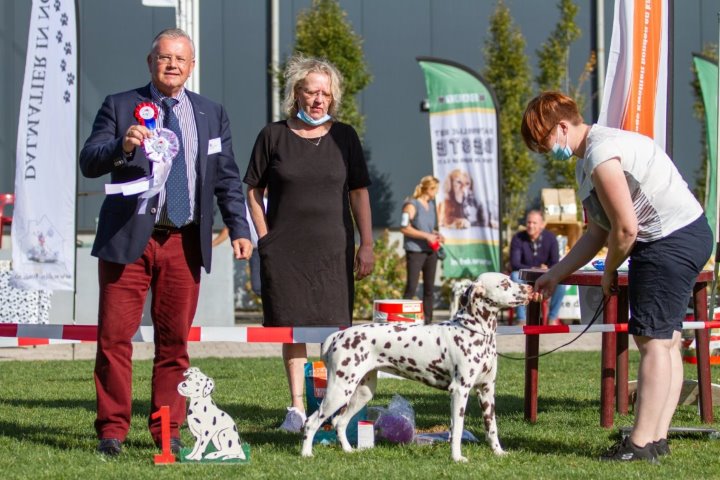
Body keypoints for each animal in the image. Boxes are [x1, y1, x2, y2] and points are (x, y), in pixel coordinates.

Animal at [300, 272, 532, 464]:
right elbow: (457, 429)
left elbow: (492, 427)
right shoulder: (460, 391)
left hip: (361, 393)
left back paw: (348, 450)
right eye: (504, 283)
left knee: (339, 421)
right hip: (339, 391)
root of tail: (338, 335)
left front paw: (498, 452)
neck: (474, 331)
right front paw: (457, 458)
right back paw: (306, 453)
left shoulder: (486, 390)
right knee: (312, 422)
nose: (529, 287)